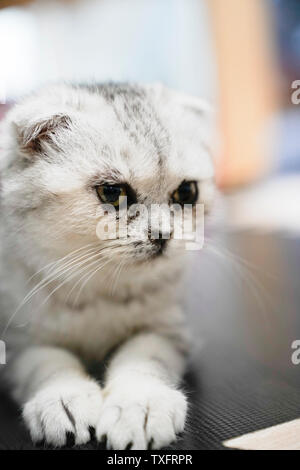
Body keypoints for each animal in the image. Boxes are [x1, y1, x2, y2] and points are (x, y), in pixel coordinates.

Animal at [0, 82, 214, 450]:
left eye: (187, 192)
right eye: (112, 192)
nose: (163, 234)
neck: (100, 291)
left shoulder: (167, 330)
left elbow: (143, 359)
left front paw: (141, 405)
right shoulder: (16, 342)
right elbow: (48, 363)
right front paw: (62, 400)